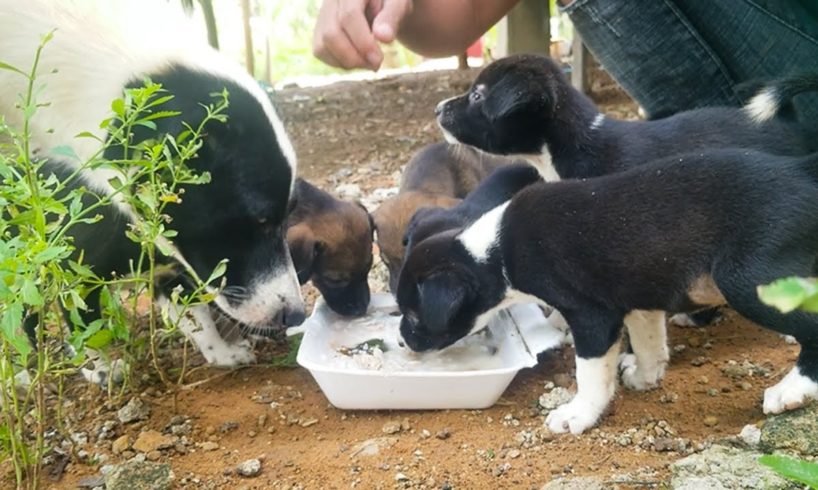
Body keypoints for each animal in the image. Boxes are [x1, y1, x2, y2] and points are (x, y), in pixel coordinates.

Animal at [0, 0, 302, 370]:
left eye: (289, 215)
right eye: (260, 220)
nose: (297, 314)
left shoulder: (169, 263)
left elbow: (196, 317)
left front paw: (221, 352)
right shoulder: (77, 270)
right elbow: (83, 324)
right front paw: (99, 368)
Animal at [398, 148, 816, 432]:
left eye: (416, 317)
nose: (402, 340)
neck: (493, 251)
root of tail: (801, 172)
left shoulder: (592, 317)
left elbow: (590, 373)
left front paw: (578, 414)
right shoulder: (637, 296)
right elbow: (649, 343)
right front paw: (646, 377)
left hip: (747, 280)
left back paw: (793, 389)